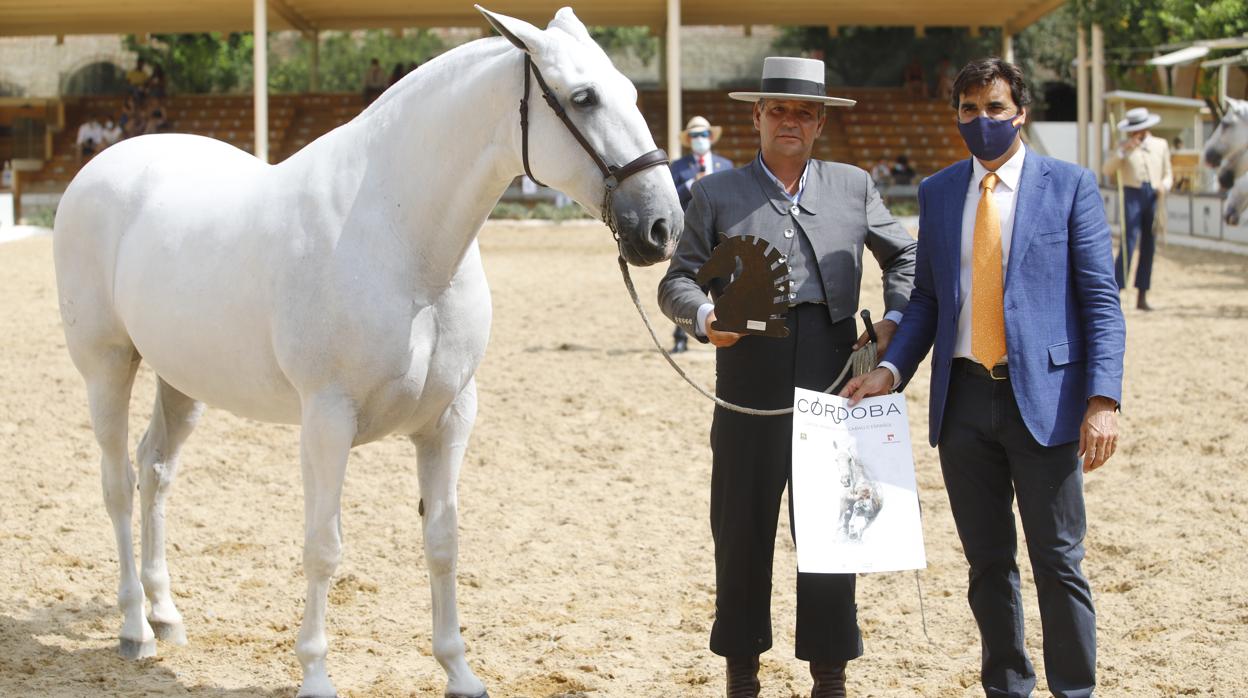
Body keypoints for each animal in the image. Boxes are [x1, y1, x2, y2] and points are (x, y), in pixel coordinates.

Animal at [53, 6, 683, 698]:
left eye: (631, 91)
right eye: (583, 97)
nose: (662, 227)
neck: (400, 241)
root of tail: (102, 166)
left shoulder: (450, 420)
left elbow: (443, 541)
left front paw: (459, 670)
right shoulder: (328, 420)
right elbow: (323, 548)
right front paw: (315, 675)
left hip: (182, 380)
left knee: (156, 472)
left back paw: (165, 614)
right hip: (106, 366)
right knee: (118, 483)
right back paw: (134, 627)